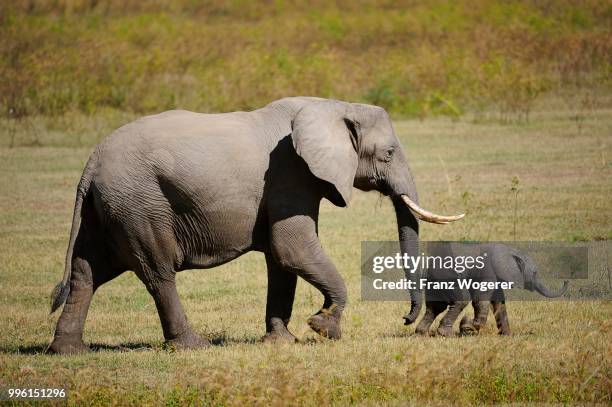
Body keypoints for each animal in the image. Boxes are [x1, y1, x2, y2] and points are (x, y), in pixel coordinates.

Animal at [47, 96, 464, 354]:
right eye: (389, 153)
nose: (406, 320)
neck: (333, 105)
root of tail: (91, 163)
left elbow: (281, 262)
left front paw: (282, 342)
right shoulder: (290, 172)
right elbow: (292, 248)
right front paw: (324, 328)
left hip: (107, 208)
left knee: (87, 273)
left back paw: (69, 351)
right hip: (140, 204)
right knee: (158, 273)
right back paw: (193, 346)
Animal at [412, 244, 568, 336]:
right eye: (535, 273)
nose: (566, 280)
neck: (509, 251)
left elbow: (499, 303)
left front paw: (506, 336)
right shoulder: (488, 271)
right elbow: (480, 299)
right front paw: (468, 326)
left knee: (436, 306)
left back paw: (421, 333)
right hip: (448, 276)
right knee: (461, 300)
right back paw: (446, 334)